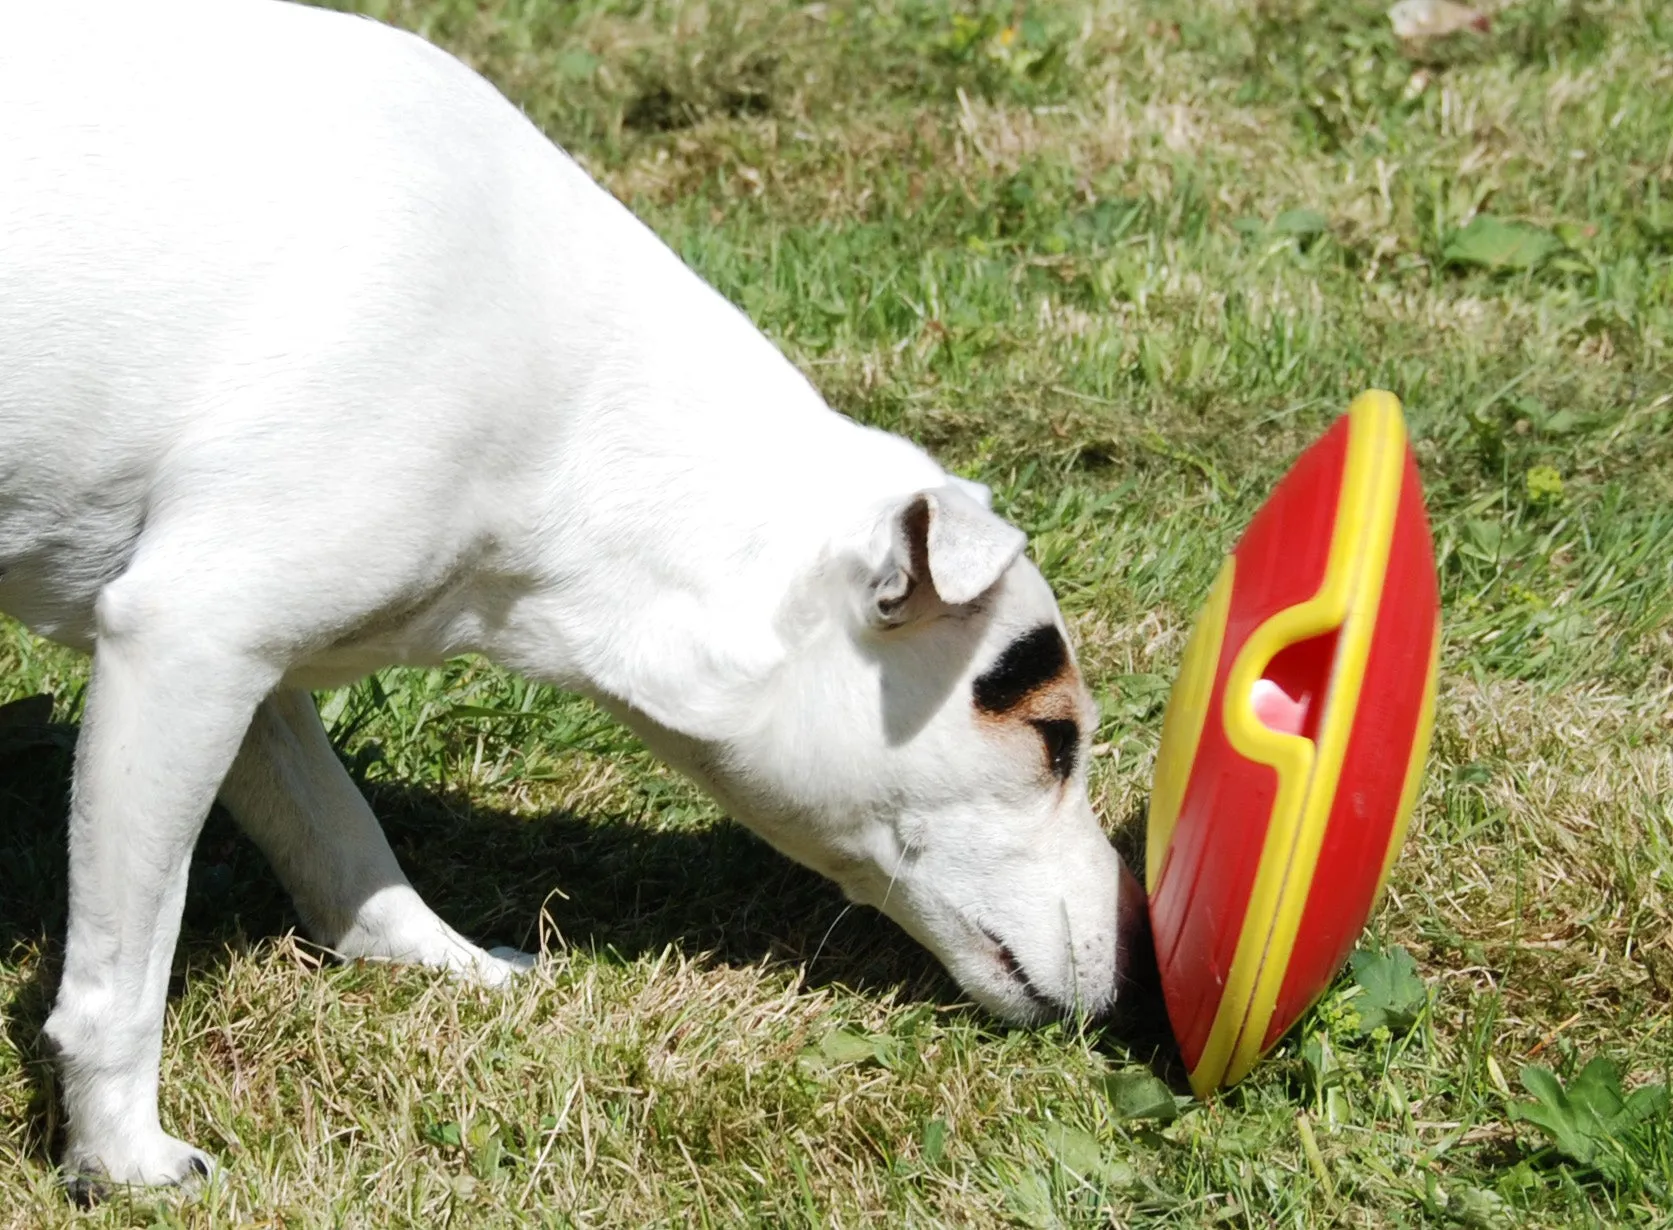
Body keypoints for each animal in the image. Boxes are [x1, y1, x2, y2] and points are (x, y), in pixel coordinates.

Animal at [0, 0, 1151, 1198]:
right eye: (1053, 738)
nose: (1148, 959)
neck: (577, 420)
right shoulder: (185, 641)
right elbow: (121, 981)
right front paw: (120, 1156)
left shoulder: (246, 663)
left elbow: (341, 837)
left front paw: (440, 958)